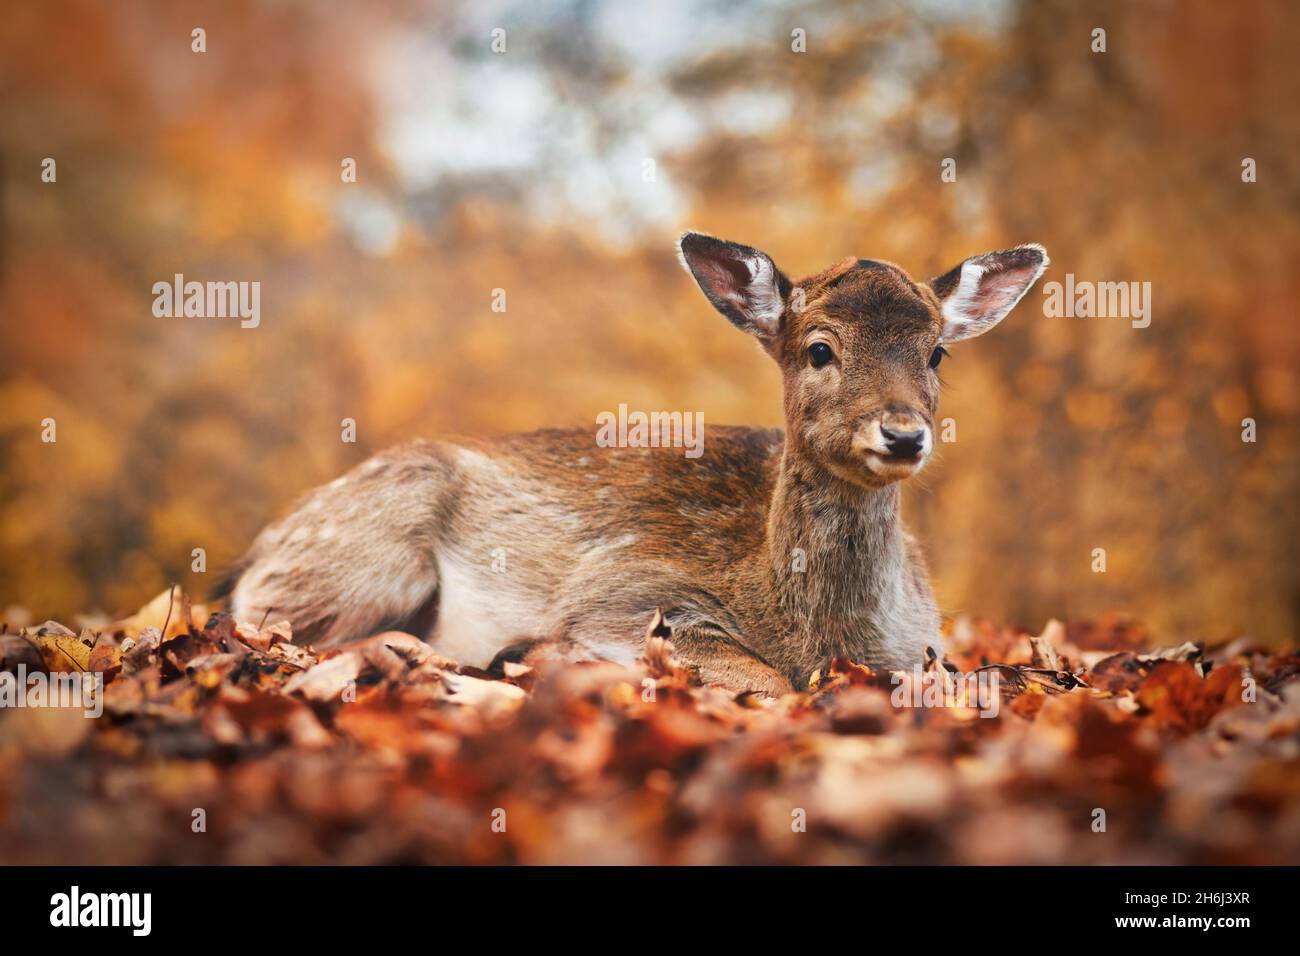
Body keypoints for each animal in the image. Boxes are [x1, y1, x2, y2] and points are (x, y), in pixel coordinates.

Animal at [228, 231, 1050, 697]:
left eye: (936, 352)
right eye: (819, 349)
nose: (904, 434)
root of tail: (255, 549)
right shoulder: (625, 594)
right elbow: (766, 680)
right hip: (365, 555)